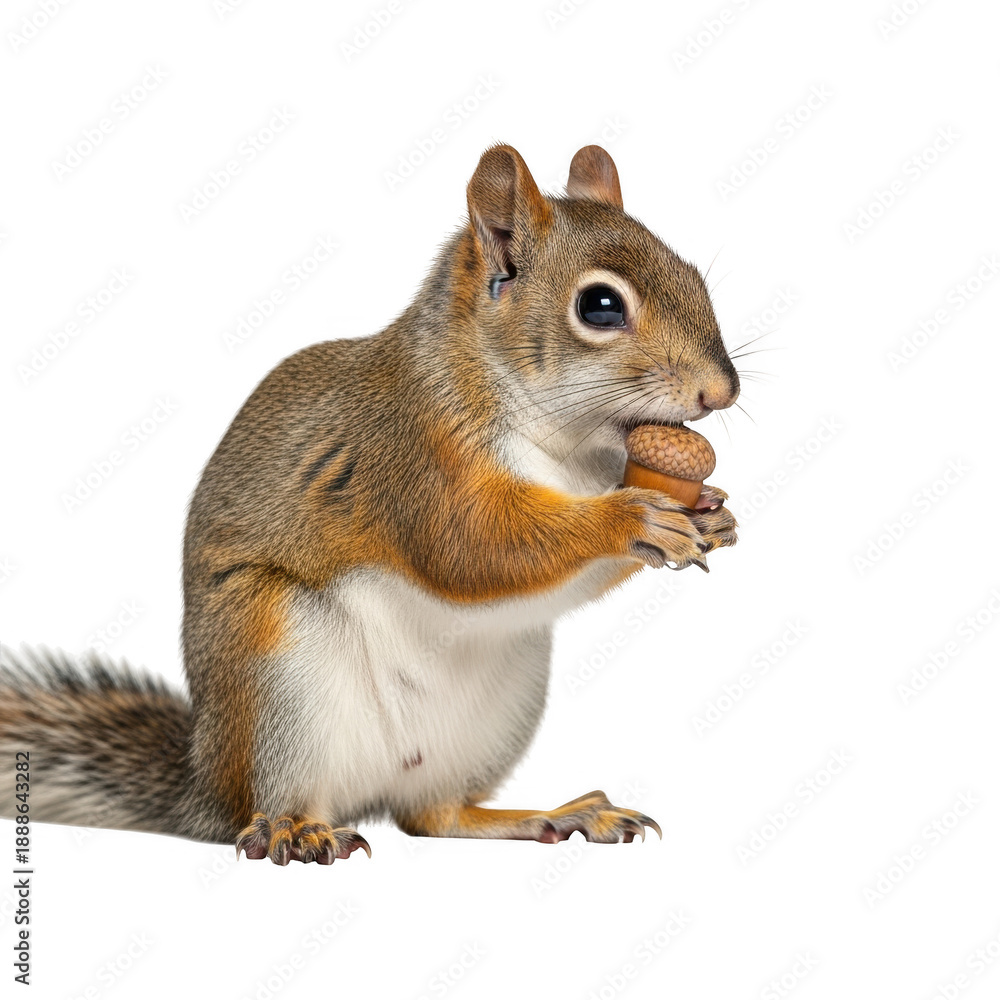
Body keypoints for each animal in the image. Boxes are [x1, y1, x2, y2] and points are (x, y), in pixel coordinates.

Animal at [0, 144, 740, 865]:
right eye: (600, 307)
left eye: (694, 277)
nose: (722, 391)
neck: (569, 448)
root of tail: (205, 782)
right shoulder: (409, 459)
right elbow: (473, 548)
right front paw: (634, 517)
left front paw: (711, 512)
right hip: (276, 671)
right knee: (275, 812)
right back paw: (296, 832)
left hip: (497, 710)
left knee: (434, 817)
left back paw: (556, 815)